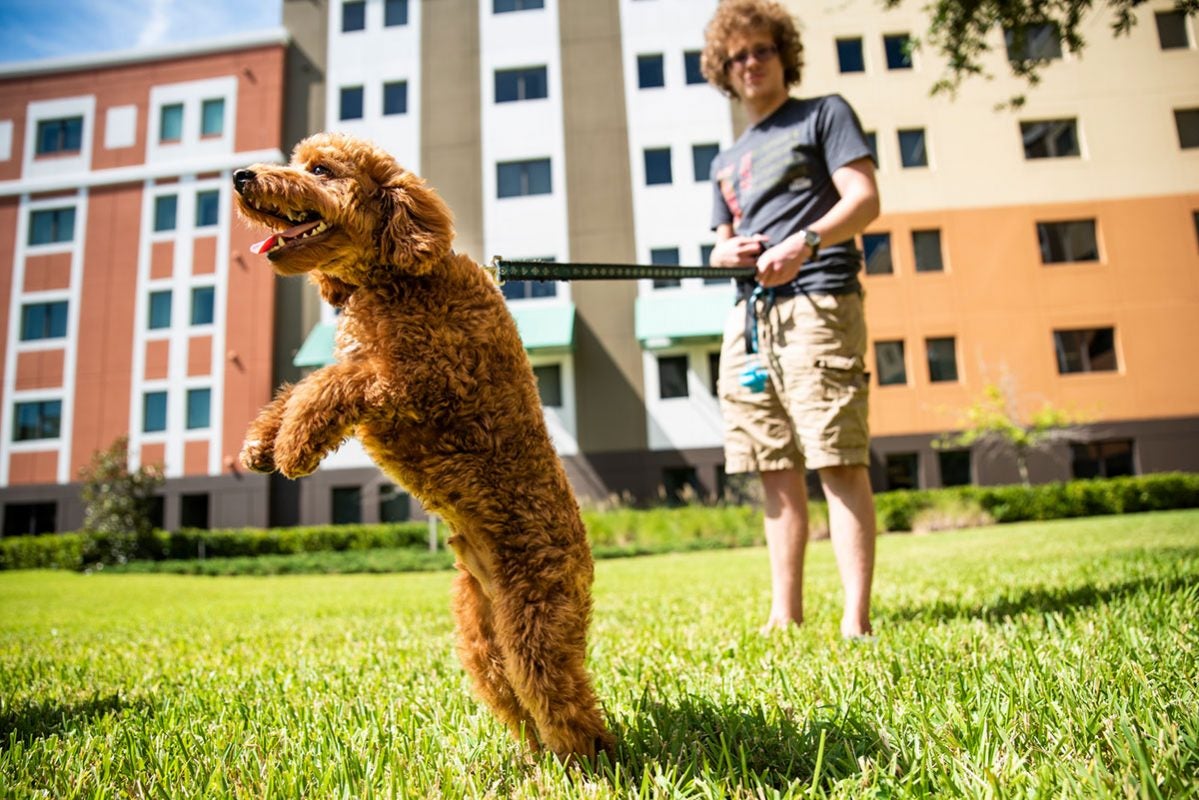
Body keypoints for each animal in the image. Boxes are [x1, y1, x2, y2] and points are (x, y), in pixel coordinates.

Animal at [230, 133, 613, 762]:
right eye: (296, 161)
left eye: (320, 170)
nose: (241, 177)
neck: (398, 279)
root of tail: (584, 559)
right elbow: (300, 386)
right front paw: (262, 441)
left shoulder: (419, 380)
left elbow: (333, 382)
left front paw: (294, 445)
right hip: (482, 637)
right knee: (519, 700)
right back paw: (532, 762)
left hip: (535, 613)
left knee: (562, 700)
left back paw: (585, 762)